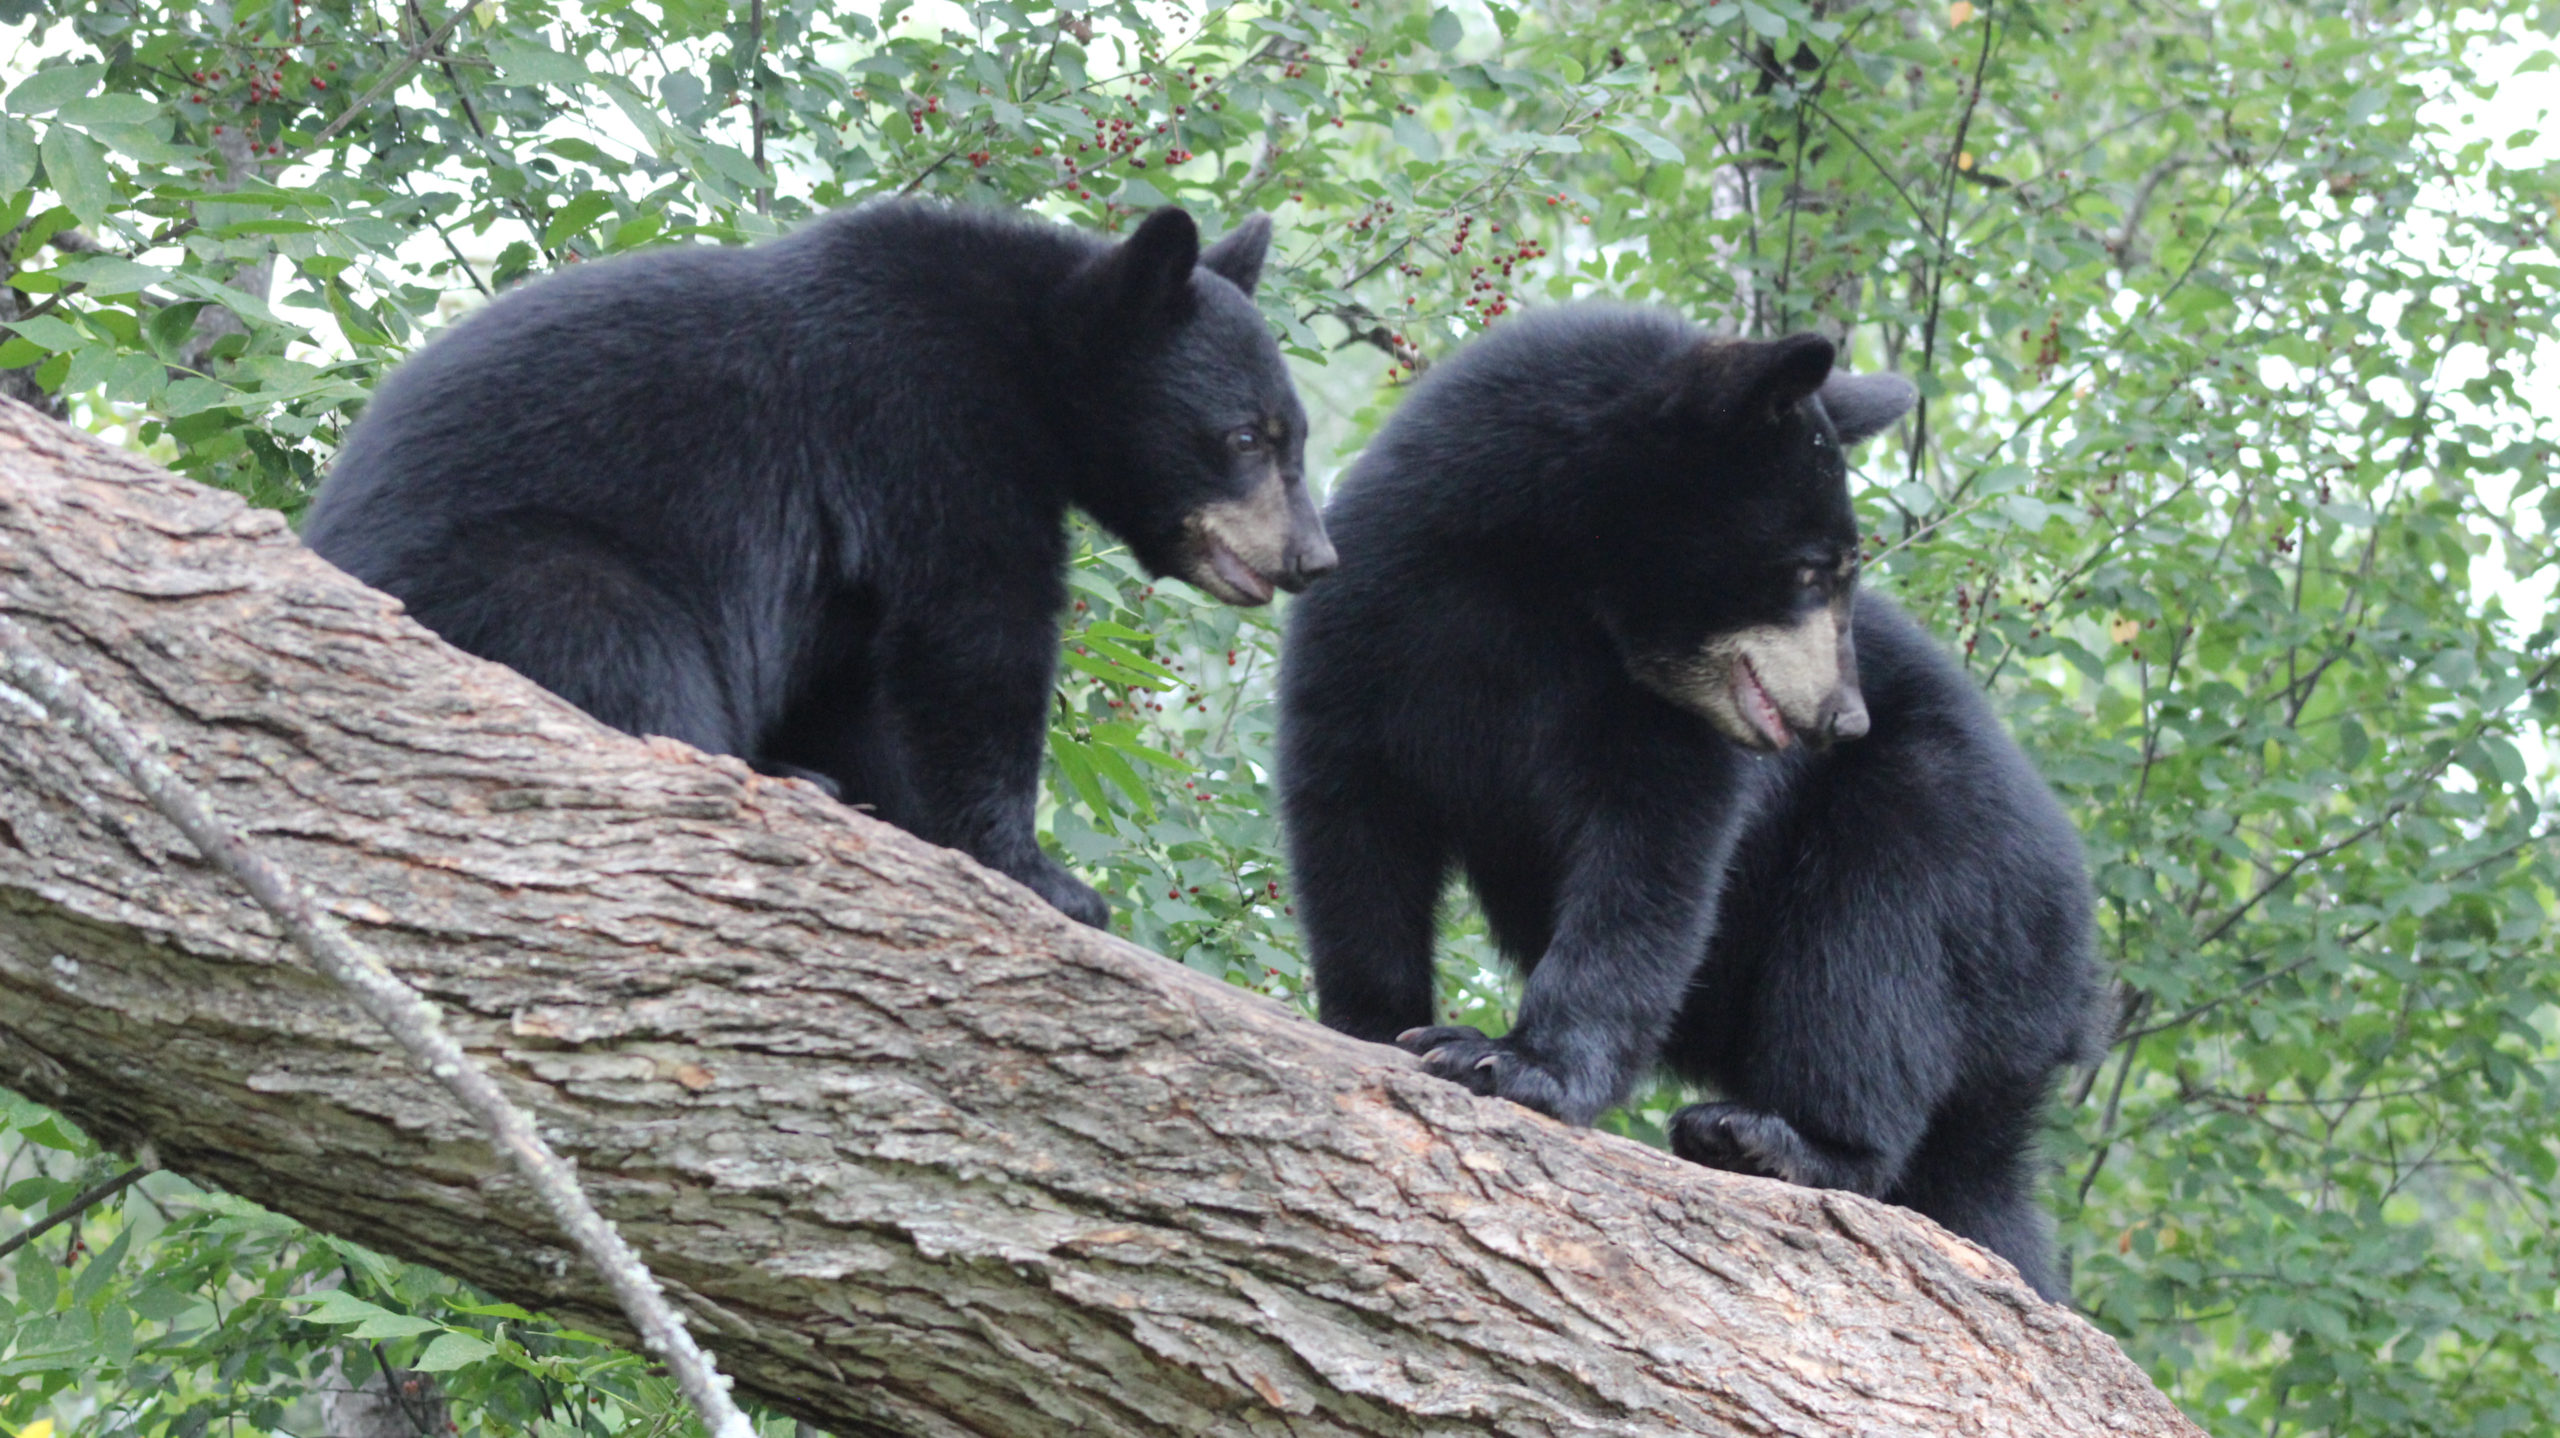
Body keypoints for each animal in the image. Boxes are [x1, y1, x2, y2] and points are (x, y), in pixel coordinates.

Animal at [304, 202, 1333, 929]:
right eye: (1245, 436)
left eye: (1296, 434)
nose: (1312, 558)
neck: (1028, 356)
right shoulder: (922, 422)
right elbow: (973, 631)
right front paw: (1048, 877)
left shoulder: (846, 561)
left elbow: (858, 676)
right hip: (521, 566)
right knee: (613, 647)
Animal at [1276, 304, 2098, 1299]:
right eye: (1813, 571)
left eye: (1845, 571)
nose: (1845, 717)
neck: (1539, 578)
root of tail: (2076, 993)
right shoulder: (1372, 612)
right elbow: (1352, 822)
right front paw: (1367, 1022)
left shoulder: (1663, 720)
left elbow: (1650, 859)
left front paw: (1511, 1060)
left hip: (1971, 871)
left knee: (1875, 948)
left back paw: (1779, 1138)